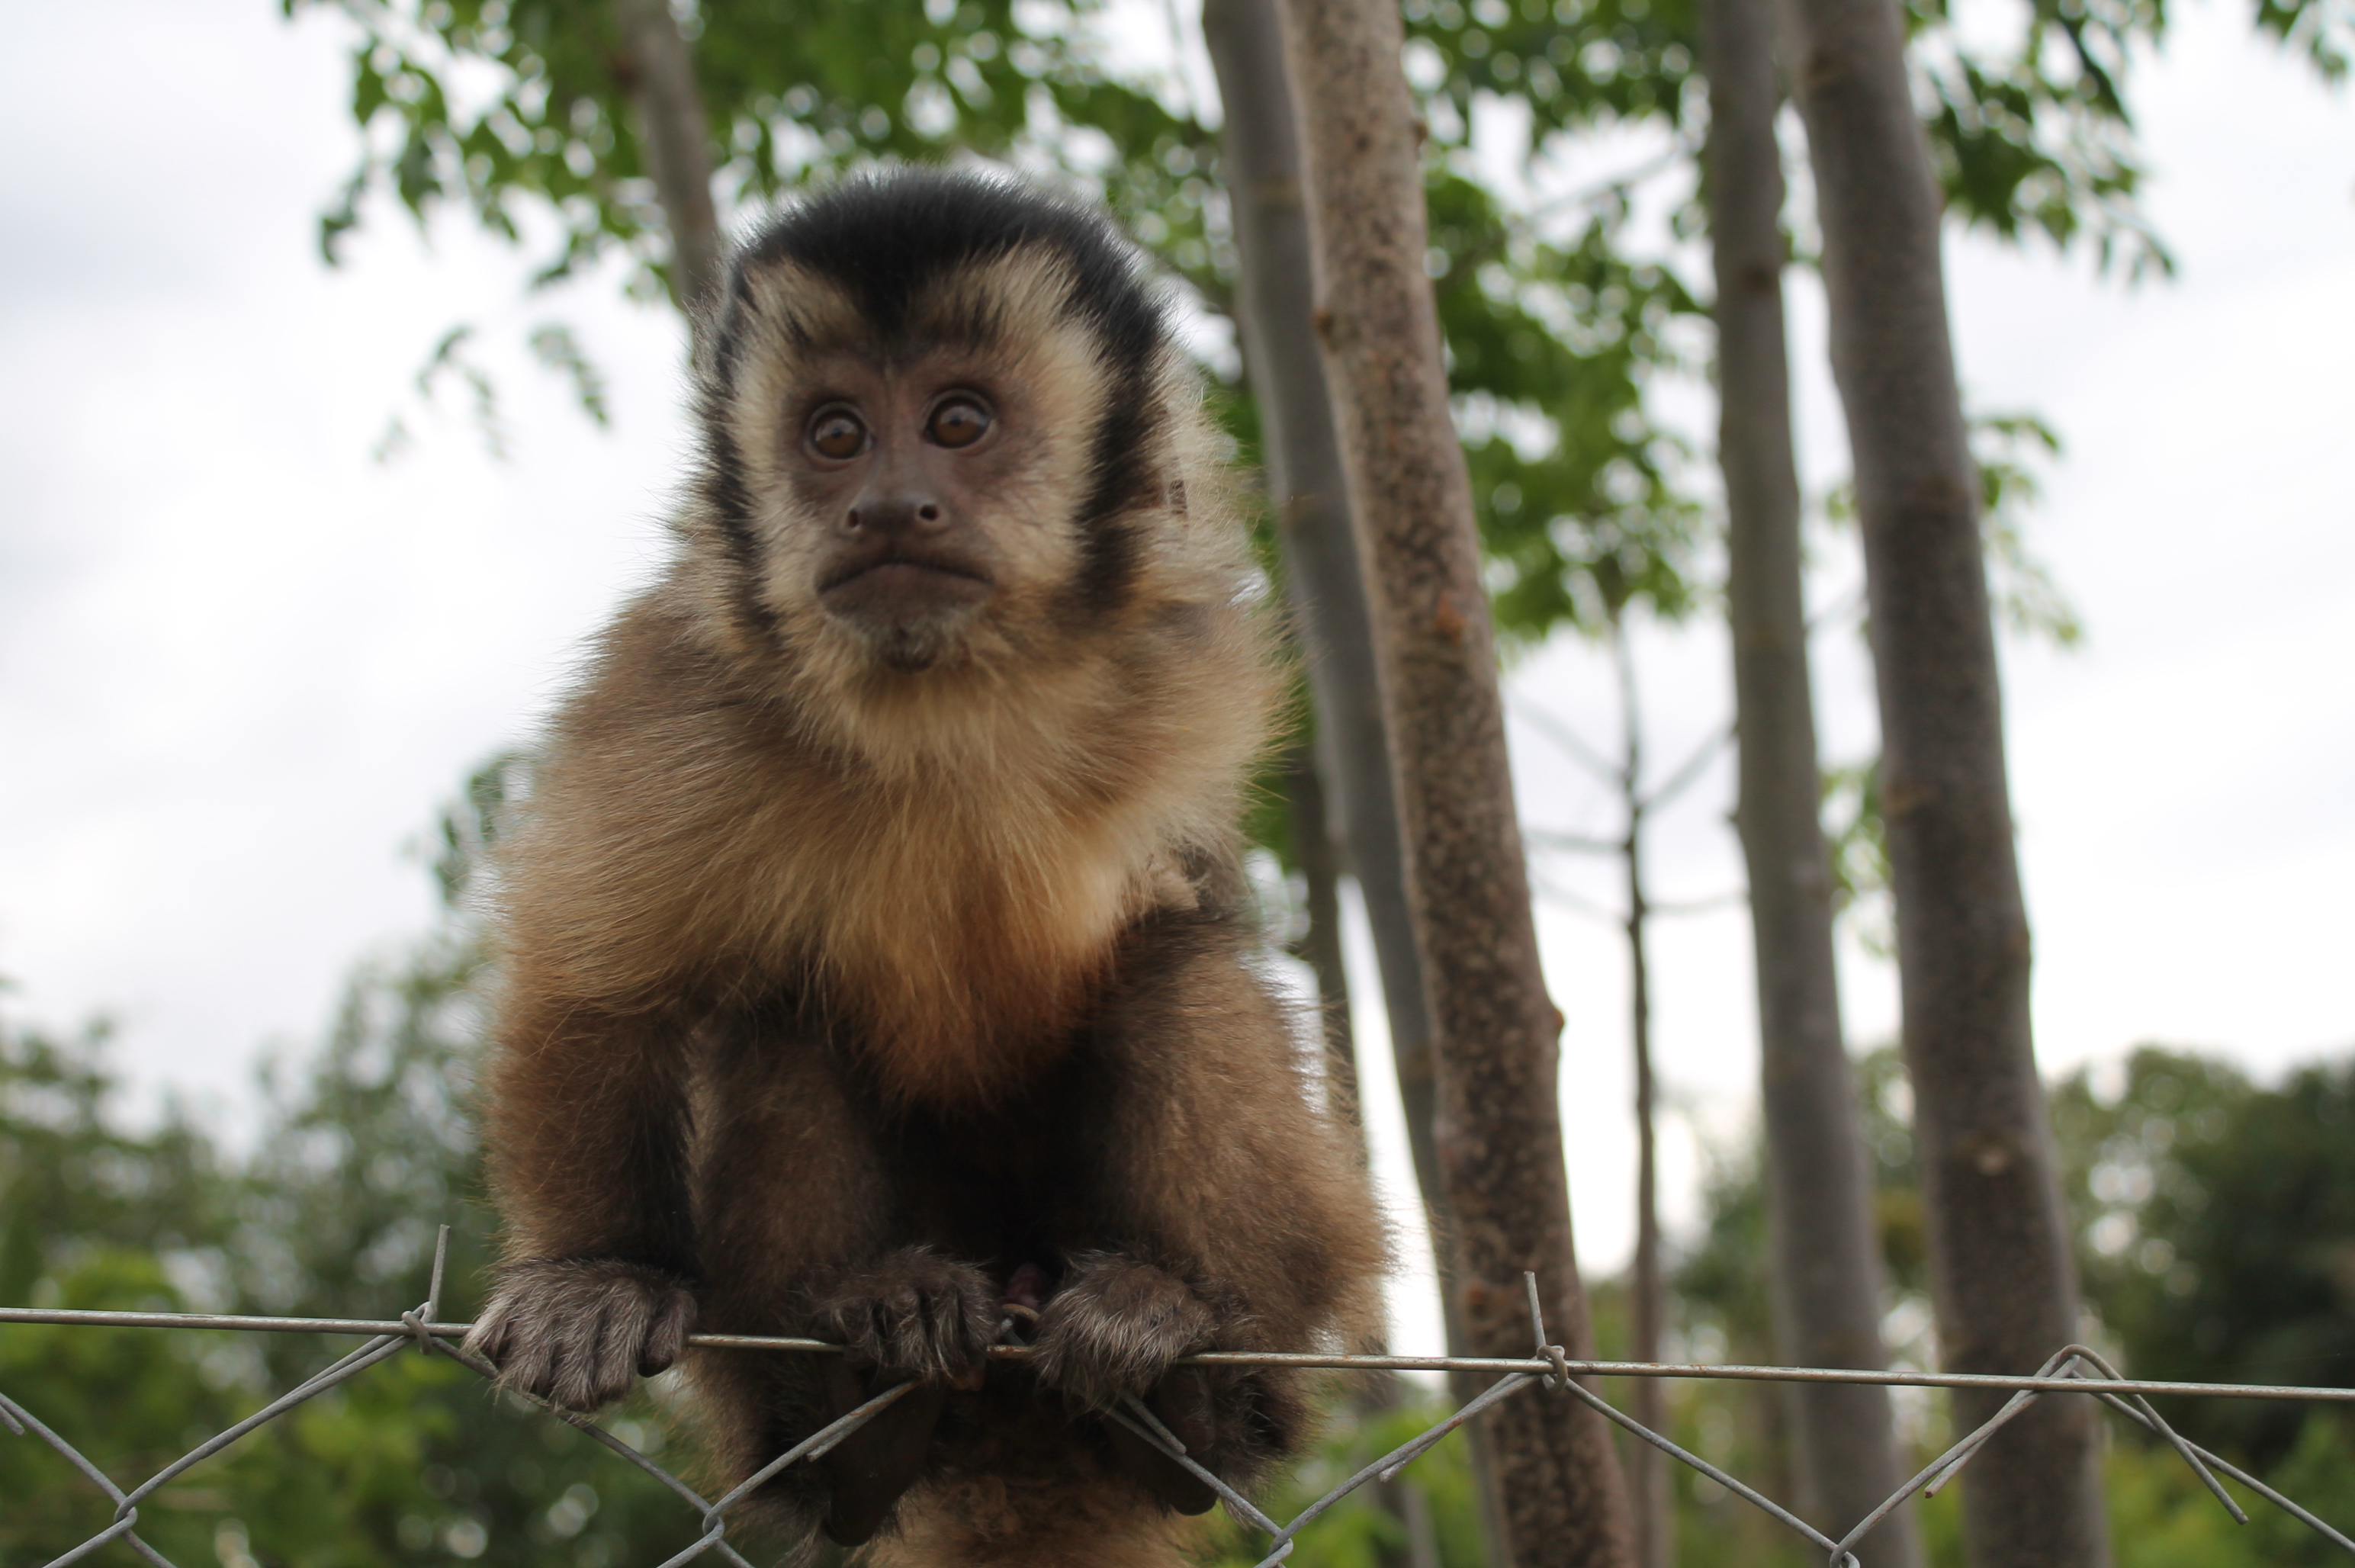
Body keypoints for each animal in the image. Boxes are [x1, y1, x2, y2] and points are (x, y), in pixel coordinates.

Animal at [461, 166, 1388, 1568]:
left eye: (958, 422)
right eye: (836, 435)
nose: (890, 506)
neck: (943, 701)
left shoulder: (1187, 663)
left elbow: (1192, 895)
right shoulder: (675, 680)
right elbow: (596, 978)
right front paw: (597, 1271)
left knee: (1173, 973)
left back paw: (1186, 1386)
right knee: (781, 1014)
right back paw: (858, 1407)